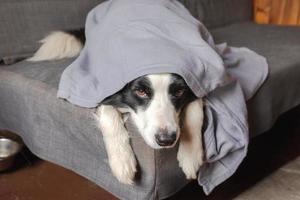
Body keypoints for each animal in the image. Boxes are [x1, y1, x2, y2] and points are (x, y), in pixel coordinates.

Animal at [29, 29, 205, 184]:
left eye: (179, 91)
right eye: (141, 91)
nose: (166, 140)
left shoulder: (197, 83)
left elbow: (196, 112)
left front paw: (191, 155)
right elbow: (107, 111)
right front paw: (122, 161)